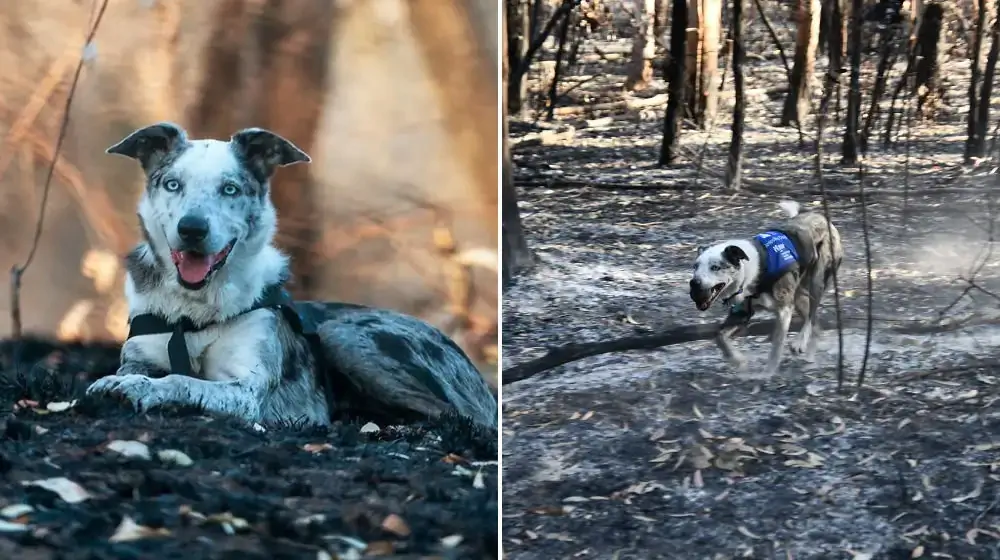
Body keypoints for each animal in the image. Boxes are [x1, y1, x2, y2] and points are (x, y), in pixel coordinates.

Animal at [84, 122, 498, 428]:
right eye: (172, 184)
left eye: (230, 189)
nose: (192, 229)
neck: (196, 310)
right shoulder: (142, 353)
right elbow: (144, 371)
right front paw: (123, 381)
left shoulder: (247, 391)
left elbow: (181, 380)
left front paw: (140, 389)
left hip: (343, 335)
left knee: (461, 418)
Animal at [688, 201, 844, 376]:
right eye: (695, 266)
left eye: (715, 267)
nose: (694, 283)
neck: (753, 271)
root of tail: (818, 216)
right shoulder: (741, 313)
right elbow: (719, 337)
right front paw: (738, 361)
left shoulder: (784, 309)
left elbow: (777, 345)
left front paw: (767, 373)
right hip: (798, 297)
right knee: (816, 325)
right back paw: (810, 358)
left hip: (816, 282)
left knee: (811, 316)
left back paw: (800, 342)